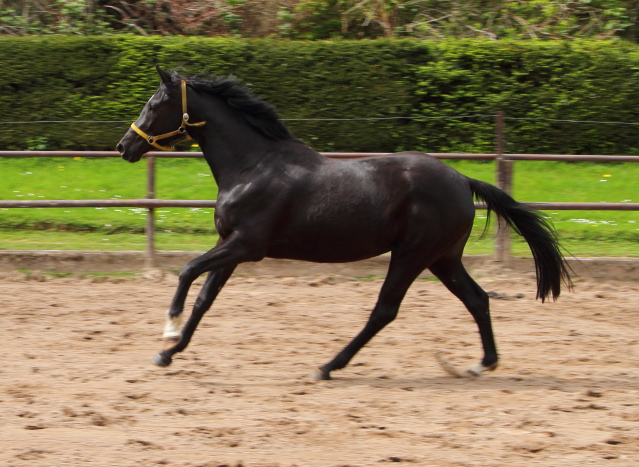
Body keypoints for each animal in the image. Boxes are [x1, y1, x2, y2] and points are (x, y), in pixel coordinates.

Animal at [117, 66, 572, 380]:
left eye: (154, 104)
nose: (125, 146)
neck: (252, 166)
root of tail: (463, 180)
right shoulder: (231, 246)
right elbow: (204, 299)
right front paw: (168, 353)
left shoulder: (246, 245)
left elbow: (187, 271)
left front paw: (167, 331)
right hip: (442, 258)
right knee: (477, 299)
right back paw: (481, 365)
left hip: (412, 254)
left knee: (385, 310)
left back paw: (327, 366)